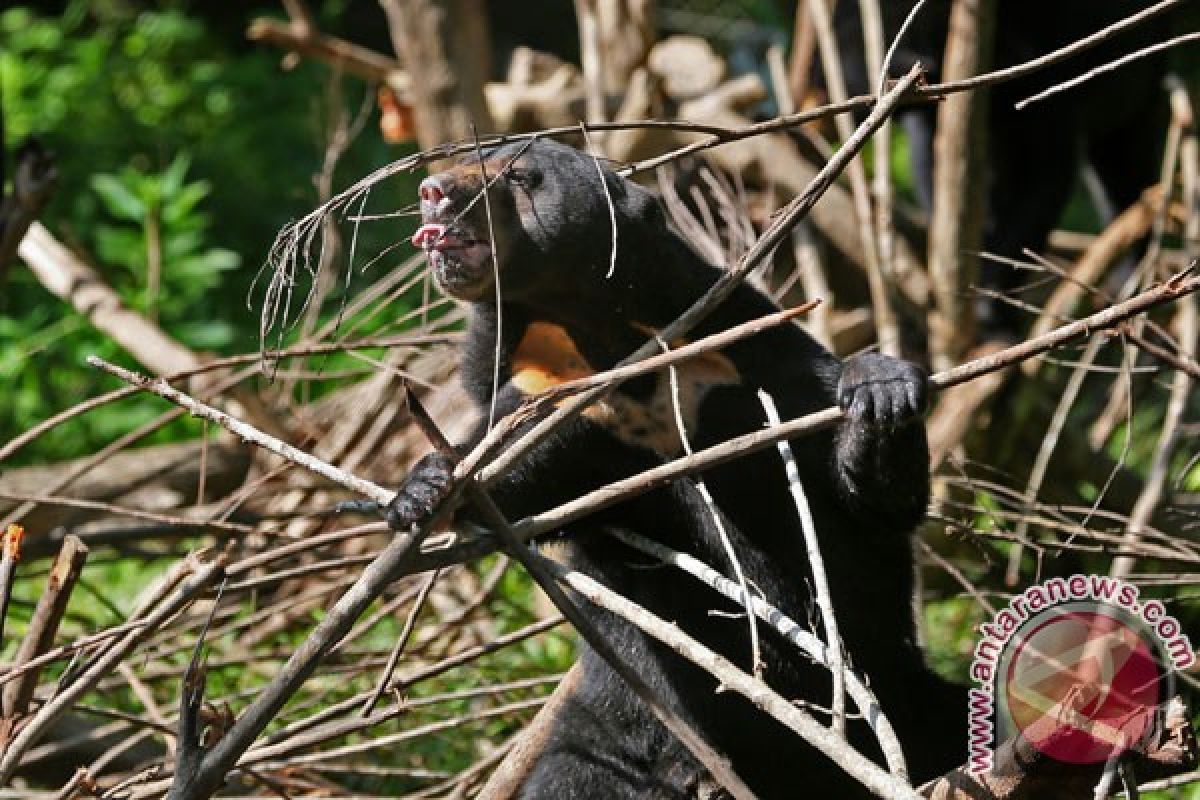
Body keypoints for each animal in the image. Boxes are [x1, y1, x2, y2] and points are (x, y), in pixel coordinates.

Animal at [388, 140, 969, 796]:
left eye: (519, 175)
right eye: (472, 160)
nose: (433, 191)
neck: (599, 337)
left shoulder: (738, 348)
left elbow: (858, 498)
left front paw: (881, 390)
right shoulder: (550, 395)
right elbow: (506, 471)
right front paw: (423, 489)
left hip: (902, 698)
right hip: (620, 726)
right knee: (575, 771)